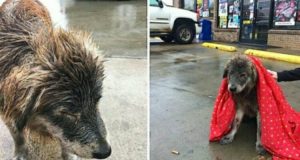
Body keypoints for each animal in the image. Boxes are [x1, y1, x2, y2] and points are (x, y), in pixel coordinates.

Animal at [0, 0, 110, 159]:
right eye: (67, 113)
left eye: (97, 101)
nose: (106, 151)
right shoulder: (7, 111)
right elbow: (17, 134)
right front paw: (20, 153)